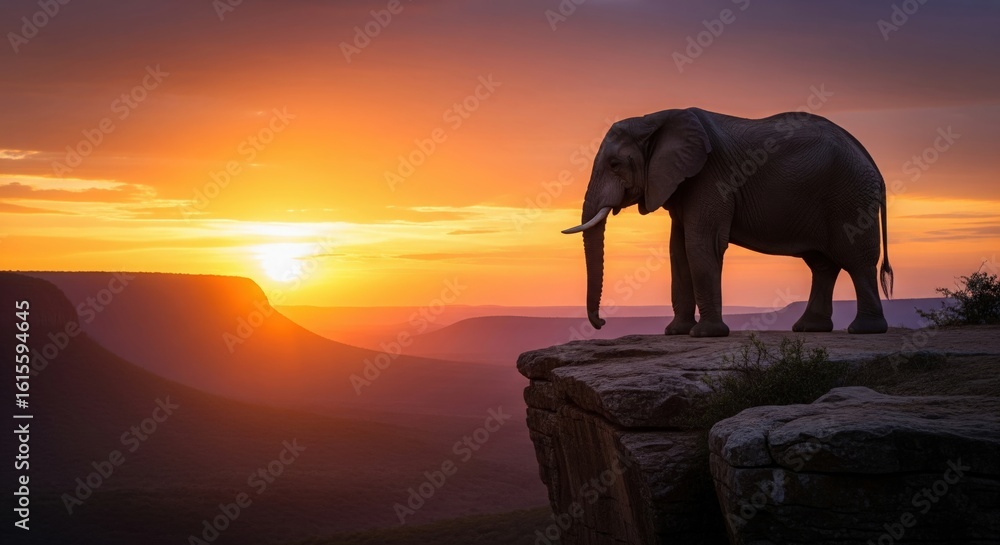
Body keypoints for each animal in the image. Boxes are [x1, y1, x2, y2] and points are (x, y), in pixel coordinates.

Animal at [562, 108, 893, 337]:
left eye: (615, 164)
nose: (601, 322)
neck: (655, 118)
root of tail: (872, 162)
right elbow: (678, 250)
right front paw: (676, 332)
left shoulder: (710, 177)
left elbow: (700, 245)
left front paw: (705, 334)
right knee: (822, 264)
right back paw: (809, 328)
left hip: (850, 196)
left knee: (857, 260)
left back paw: (864, 330)